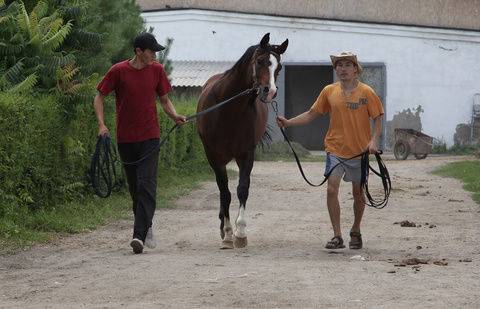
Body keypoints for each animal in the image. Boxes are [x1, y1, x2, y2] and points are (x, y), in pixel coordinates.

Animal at [196, 33, 286, 248]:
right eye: (260, 61)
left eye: (278, 67)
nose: (269, 91)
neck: (229, 109)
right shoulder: (214, 156)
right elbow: (225, 193)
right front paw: (228, 233)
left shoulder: (246, 154)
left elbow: (242, 189)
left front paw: (240, 233)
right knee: (223, 192)